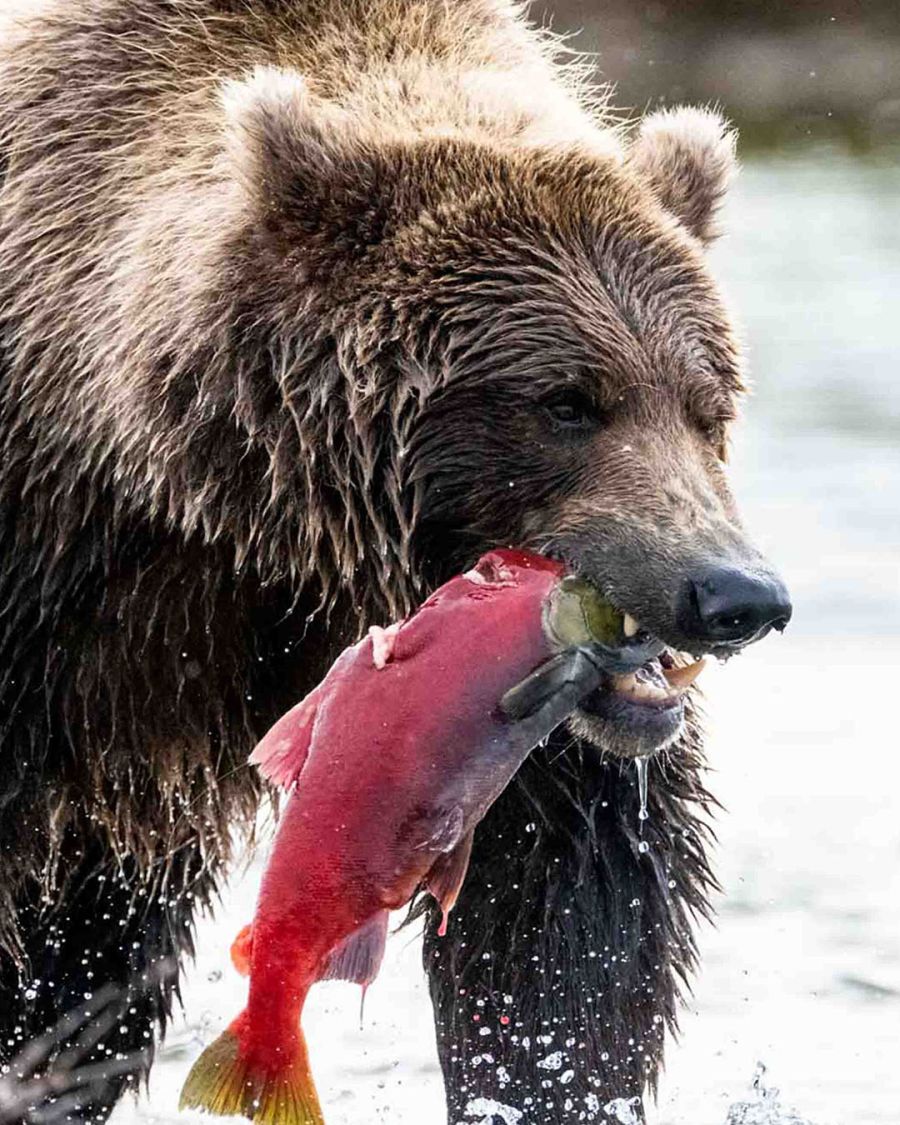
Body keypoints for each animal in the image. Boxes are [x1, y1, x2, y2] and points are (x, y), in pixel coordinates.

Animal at [0, 1, 791, 1122]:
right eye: (568, 402)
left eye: (705, 404)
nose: (733, 592)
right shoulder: (61, 581)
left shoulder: (514, 732)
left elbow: (568, 909)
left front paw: (539, 1076)